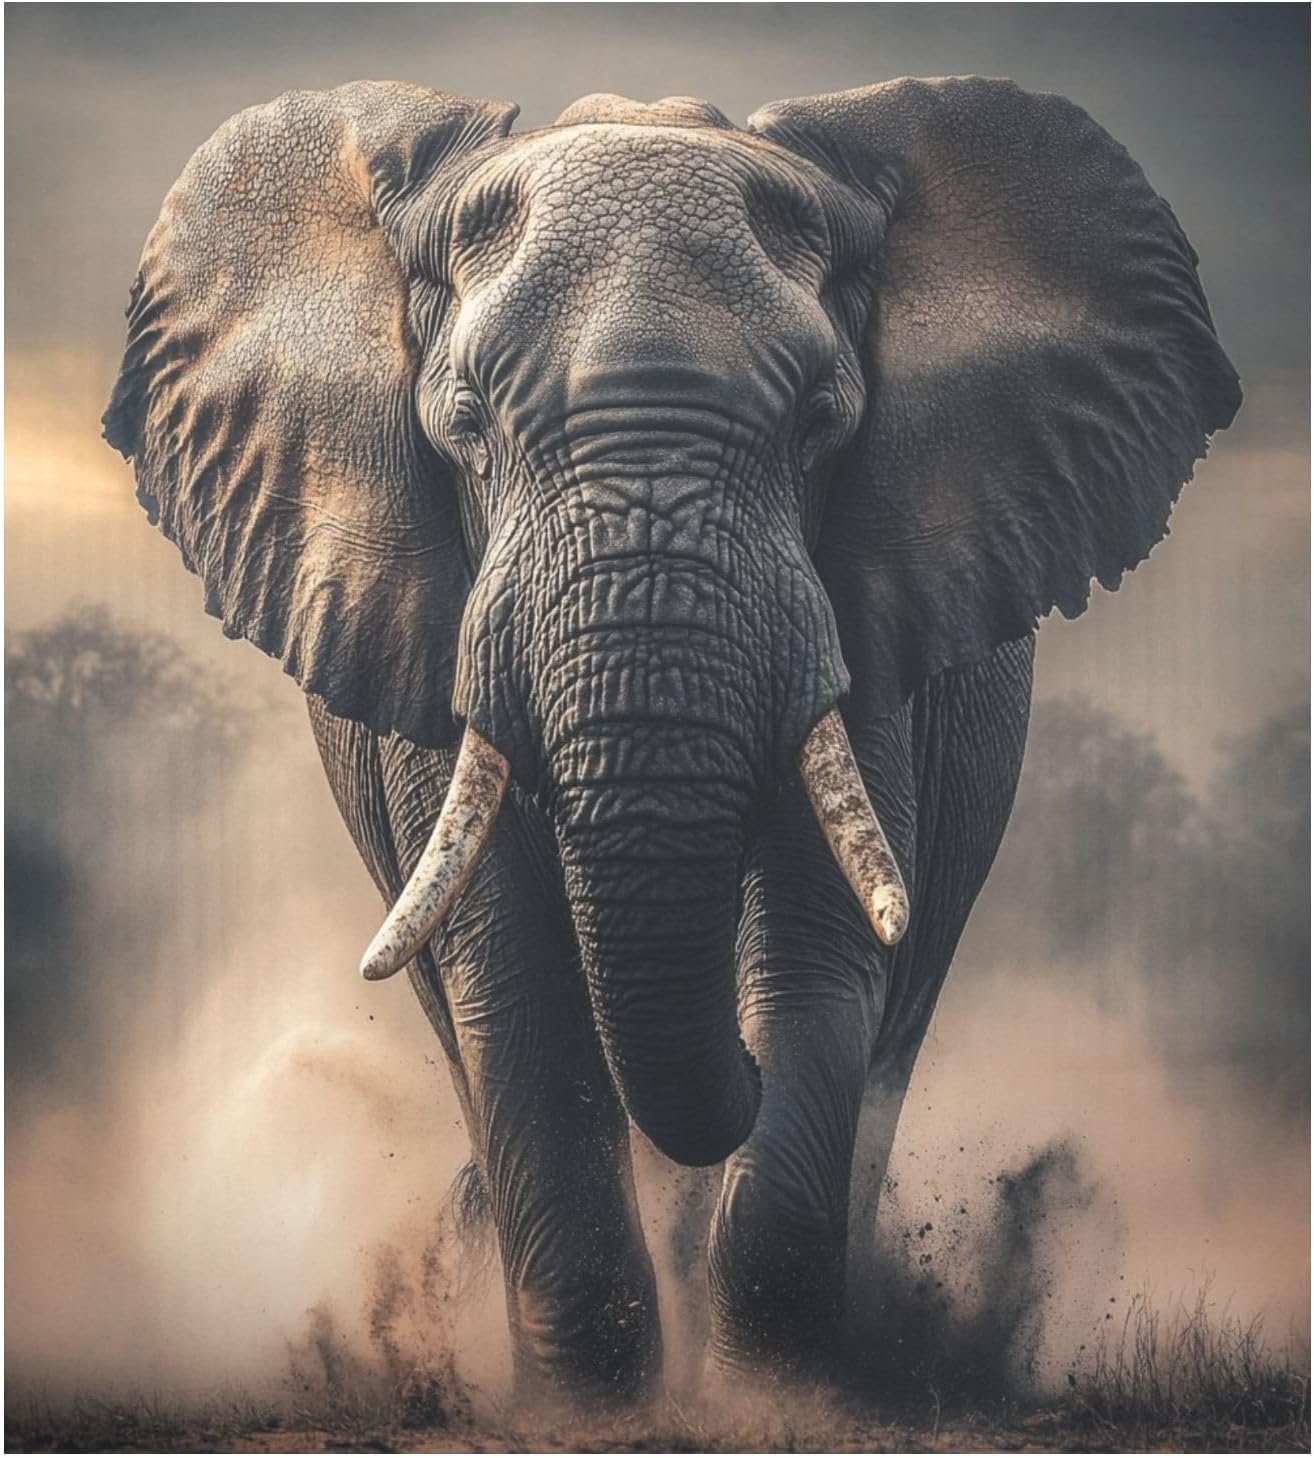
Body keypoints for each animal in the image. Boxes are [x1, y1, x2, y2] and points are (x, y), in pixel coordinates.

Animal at [104, 78, 1239, 1406]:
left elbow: (815, 946)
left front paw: (776, 1399)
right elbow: (513, 971)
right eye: (466, 428)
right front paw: (590, 1406)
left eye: (820, 425)